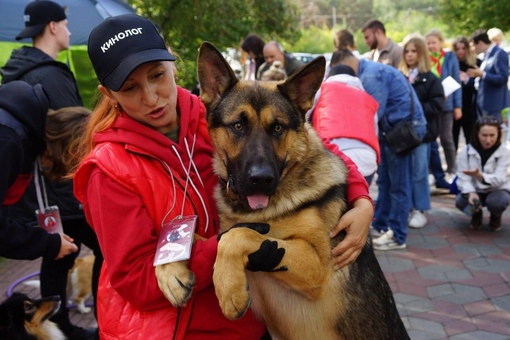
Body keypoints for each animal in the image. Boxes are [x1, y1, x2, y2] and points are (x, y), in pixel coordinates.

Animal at [197, 42, 408, 340]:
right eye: (238, 126)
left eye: (277, 127)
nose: (261, 179)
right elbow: (205, 241)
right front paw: (172, 273)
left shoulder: (316, 265)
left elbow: (239, 235)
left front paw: (228, 291)